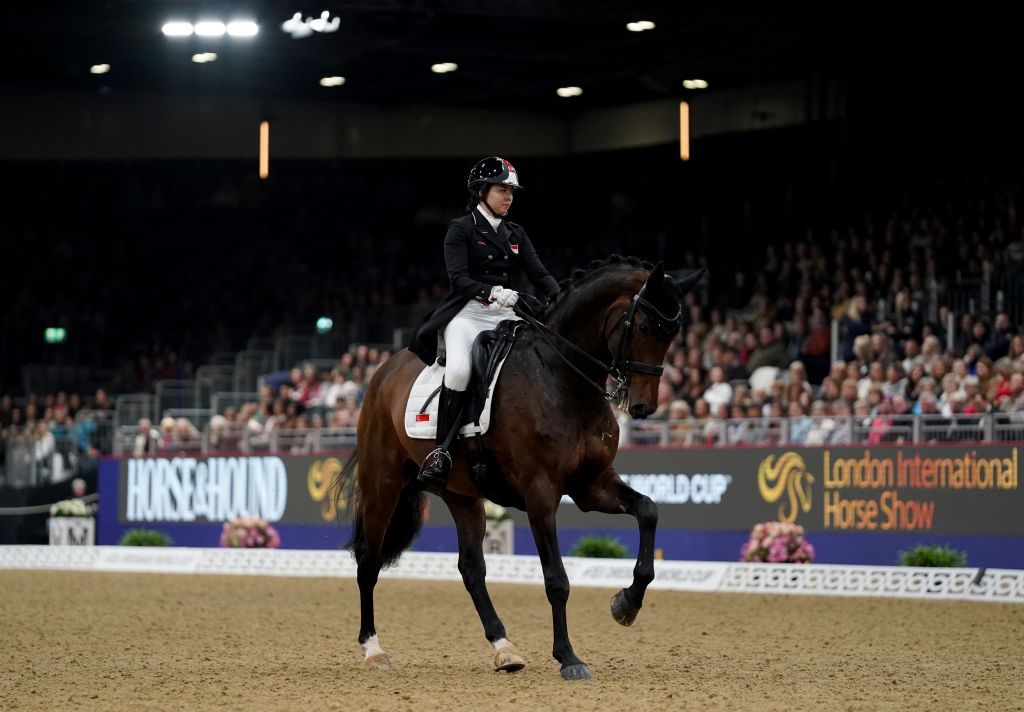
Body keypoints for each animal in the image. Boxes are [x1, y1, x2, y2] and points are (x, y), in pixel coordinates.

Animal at [335, 255, 704, 680]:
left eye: (673, 334)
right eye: (644, 327)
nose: (644, 407)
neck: (561, 380)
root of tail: (383, 371)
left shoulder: (592, 485)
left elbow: (648, 510)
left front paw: (625, 604)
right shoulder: (540, 493)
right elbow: (556, 578)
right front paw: (568, 658)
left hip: (461, 494)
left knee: (471, 569)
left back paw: (505, 648)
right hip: (383, 485)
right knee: (369, 562)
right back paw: (373, 650)